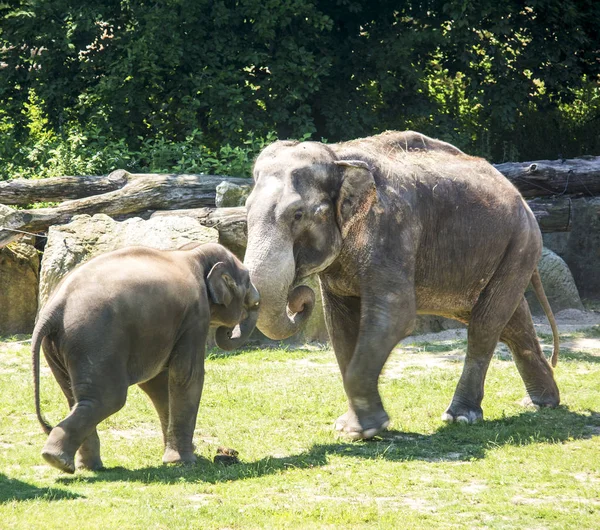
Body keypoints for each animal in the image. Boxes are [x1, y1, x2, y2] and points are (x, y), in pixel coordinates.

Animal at [32, 241, 258, 472]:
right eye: (247, 280)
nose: (229, 331)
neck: (192, 252)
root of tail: (54, 308)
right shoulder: (195, 316)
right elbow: (186, 375)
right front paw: (183, 462)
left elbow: (157, 383)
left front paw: (181, 457)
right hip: (94, 339)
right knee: (108, 398)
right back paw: (58, 459)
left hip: (60, 346)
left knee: (77, 398)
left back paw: (82, 466)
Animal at [241, 131, 560, 438]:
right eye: (245, 213)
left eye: (298, 215)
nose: (299, 300)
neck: (336, 155)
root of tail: (521, 198)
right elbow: (341, 326)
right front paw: (352, 427)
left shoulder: (393, 229)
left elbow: (395, 316)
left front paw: (363, 430)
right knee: (512, 323)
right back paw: (541, 403)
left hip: (521, 244)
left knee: (485, 325)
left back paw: (461, 416)